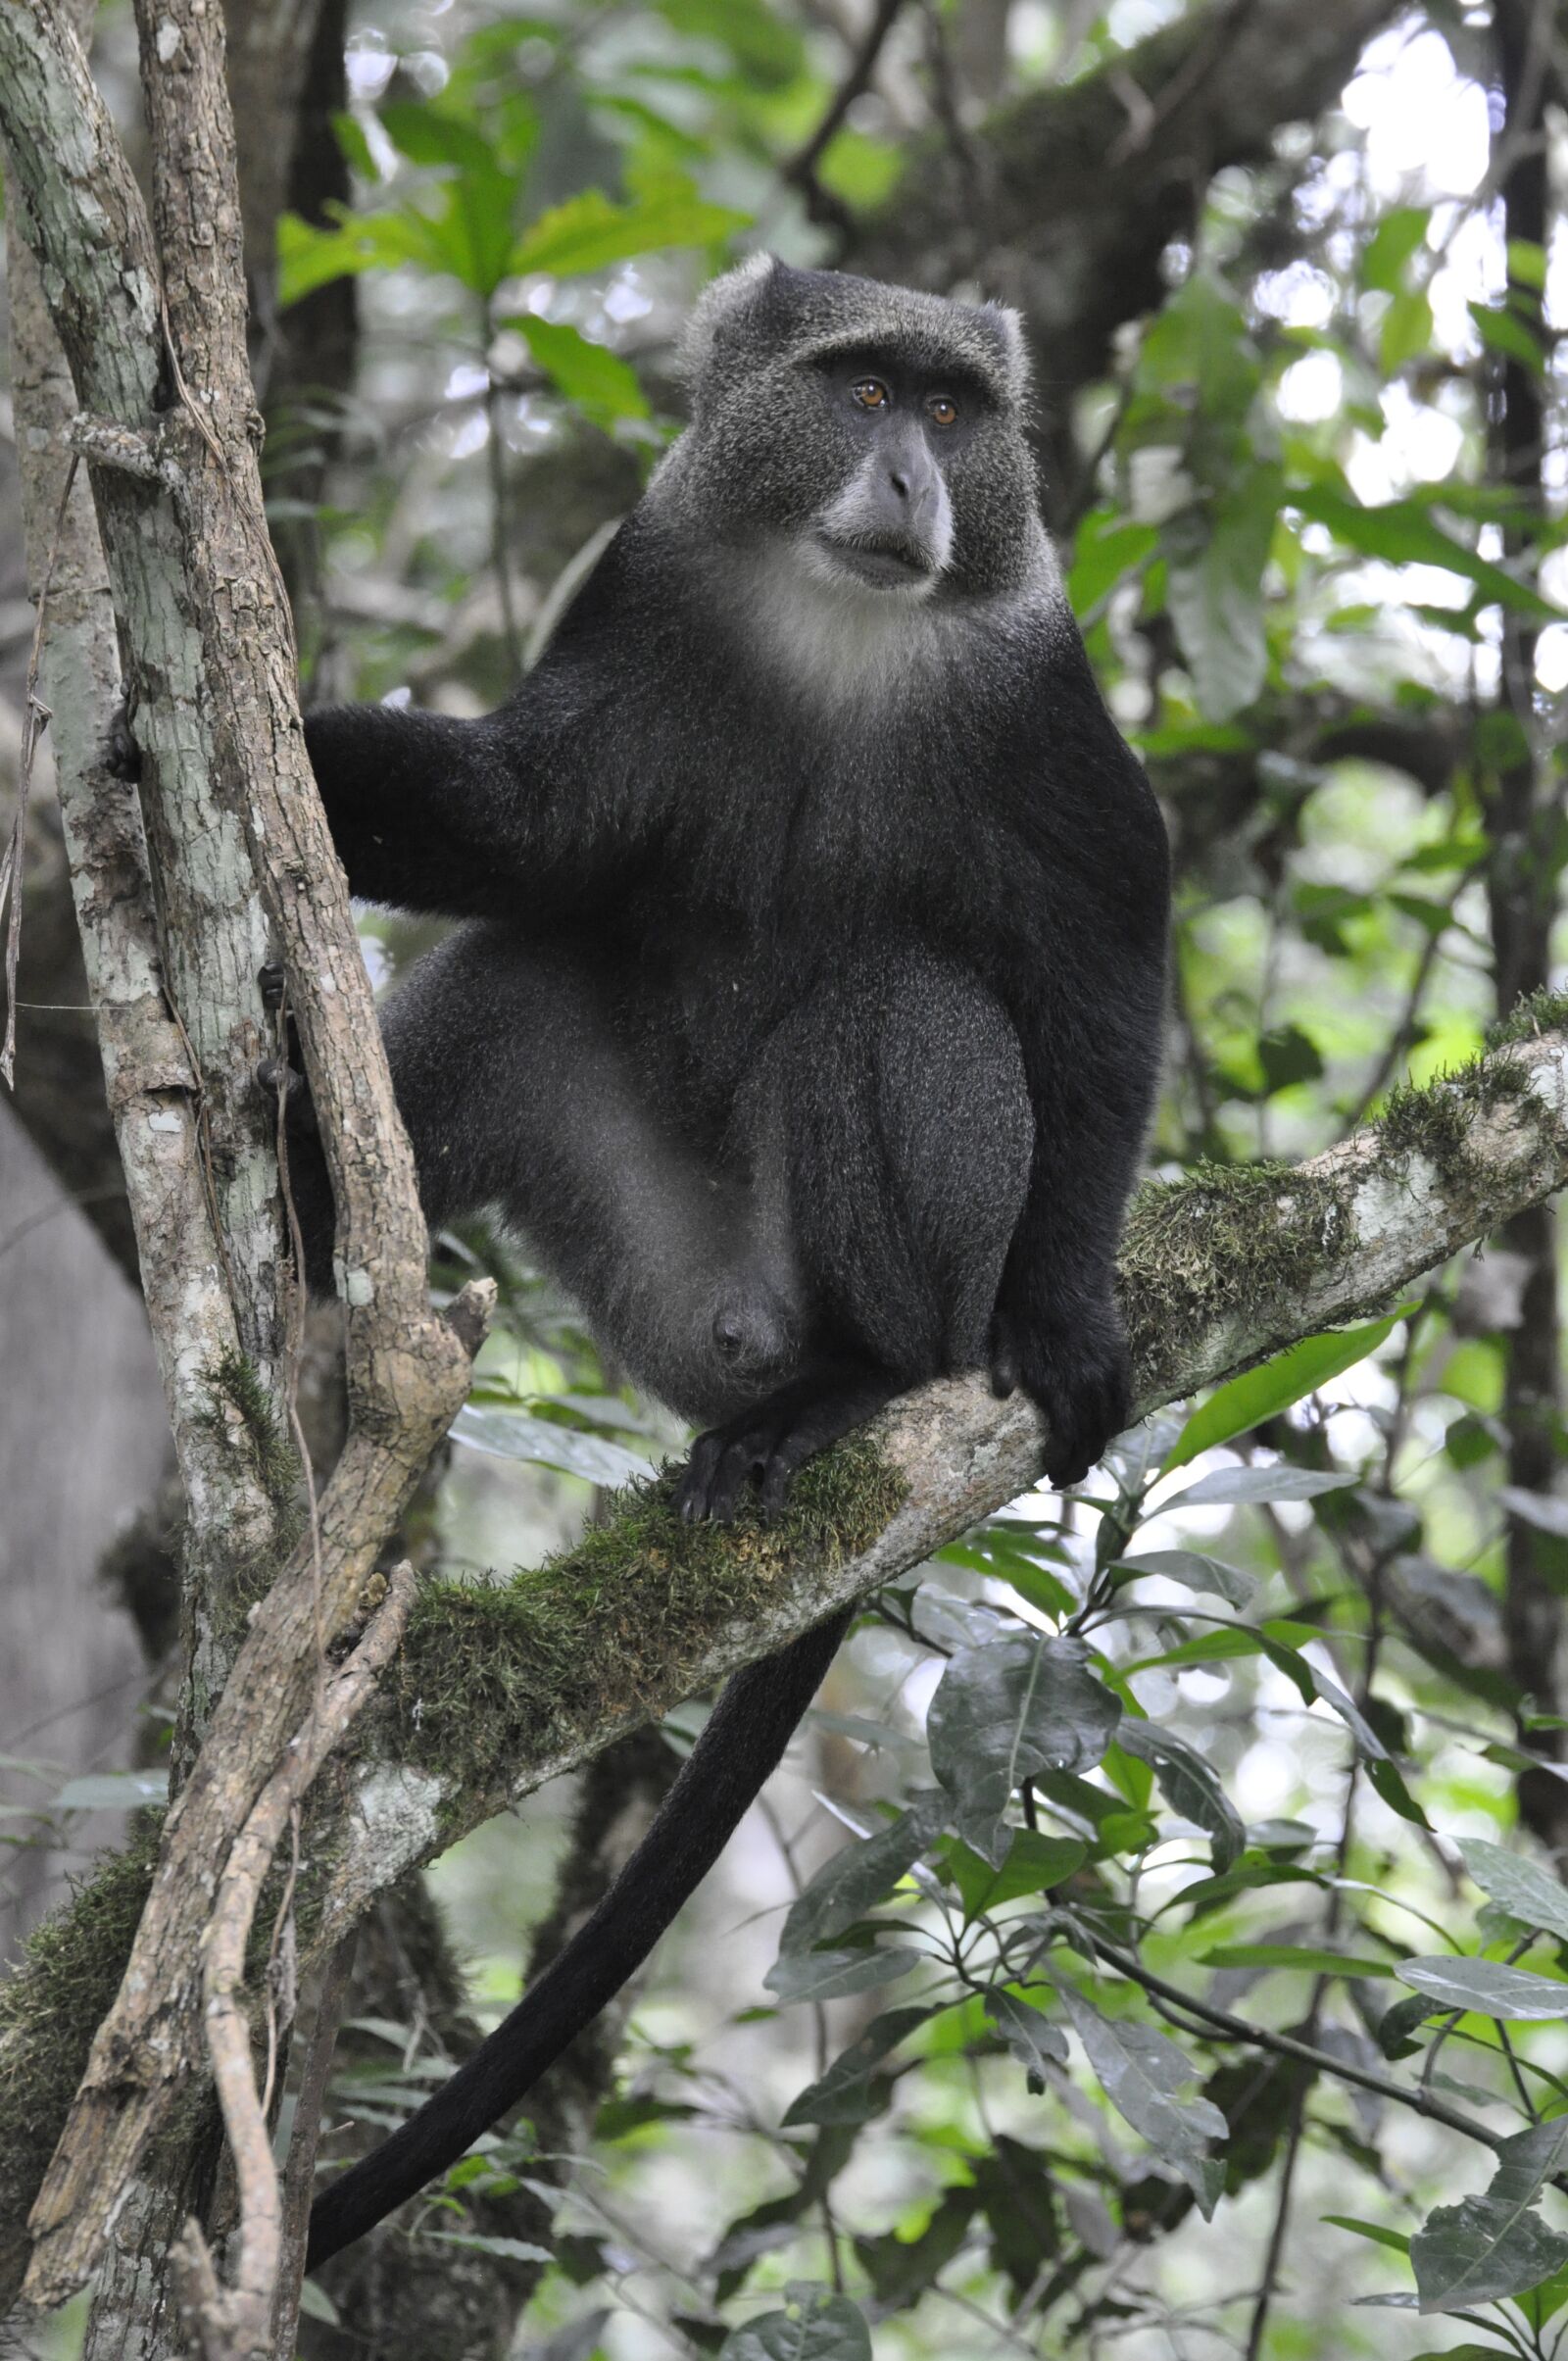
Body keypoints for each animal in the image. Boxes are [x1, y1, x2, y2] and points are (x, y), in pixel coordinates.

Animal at [250, 257, 1172, 2265]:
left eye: (958, 412)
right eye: (864, 392)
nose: (910, 481)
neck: (838, 624)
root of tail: (743, 1328)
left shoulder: (1044, 710)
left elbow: (1095, 984)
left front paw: (1074, 1321)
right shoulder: (646, 587)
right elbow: (530, 825)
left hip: (872, 1275)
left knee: (898, 1003)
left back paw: (851, 1388)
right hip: (648, 1278)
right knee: (523, 969)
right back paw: (303, 1197)